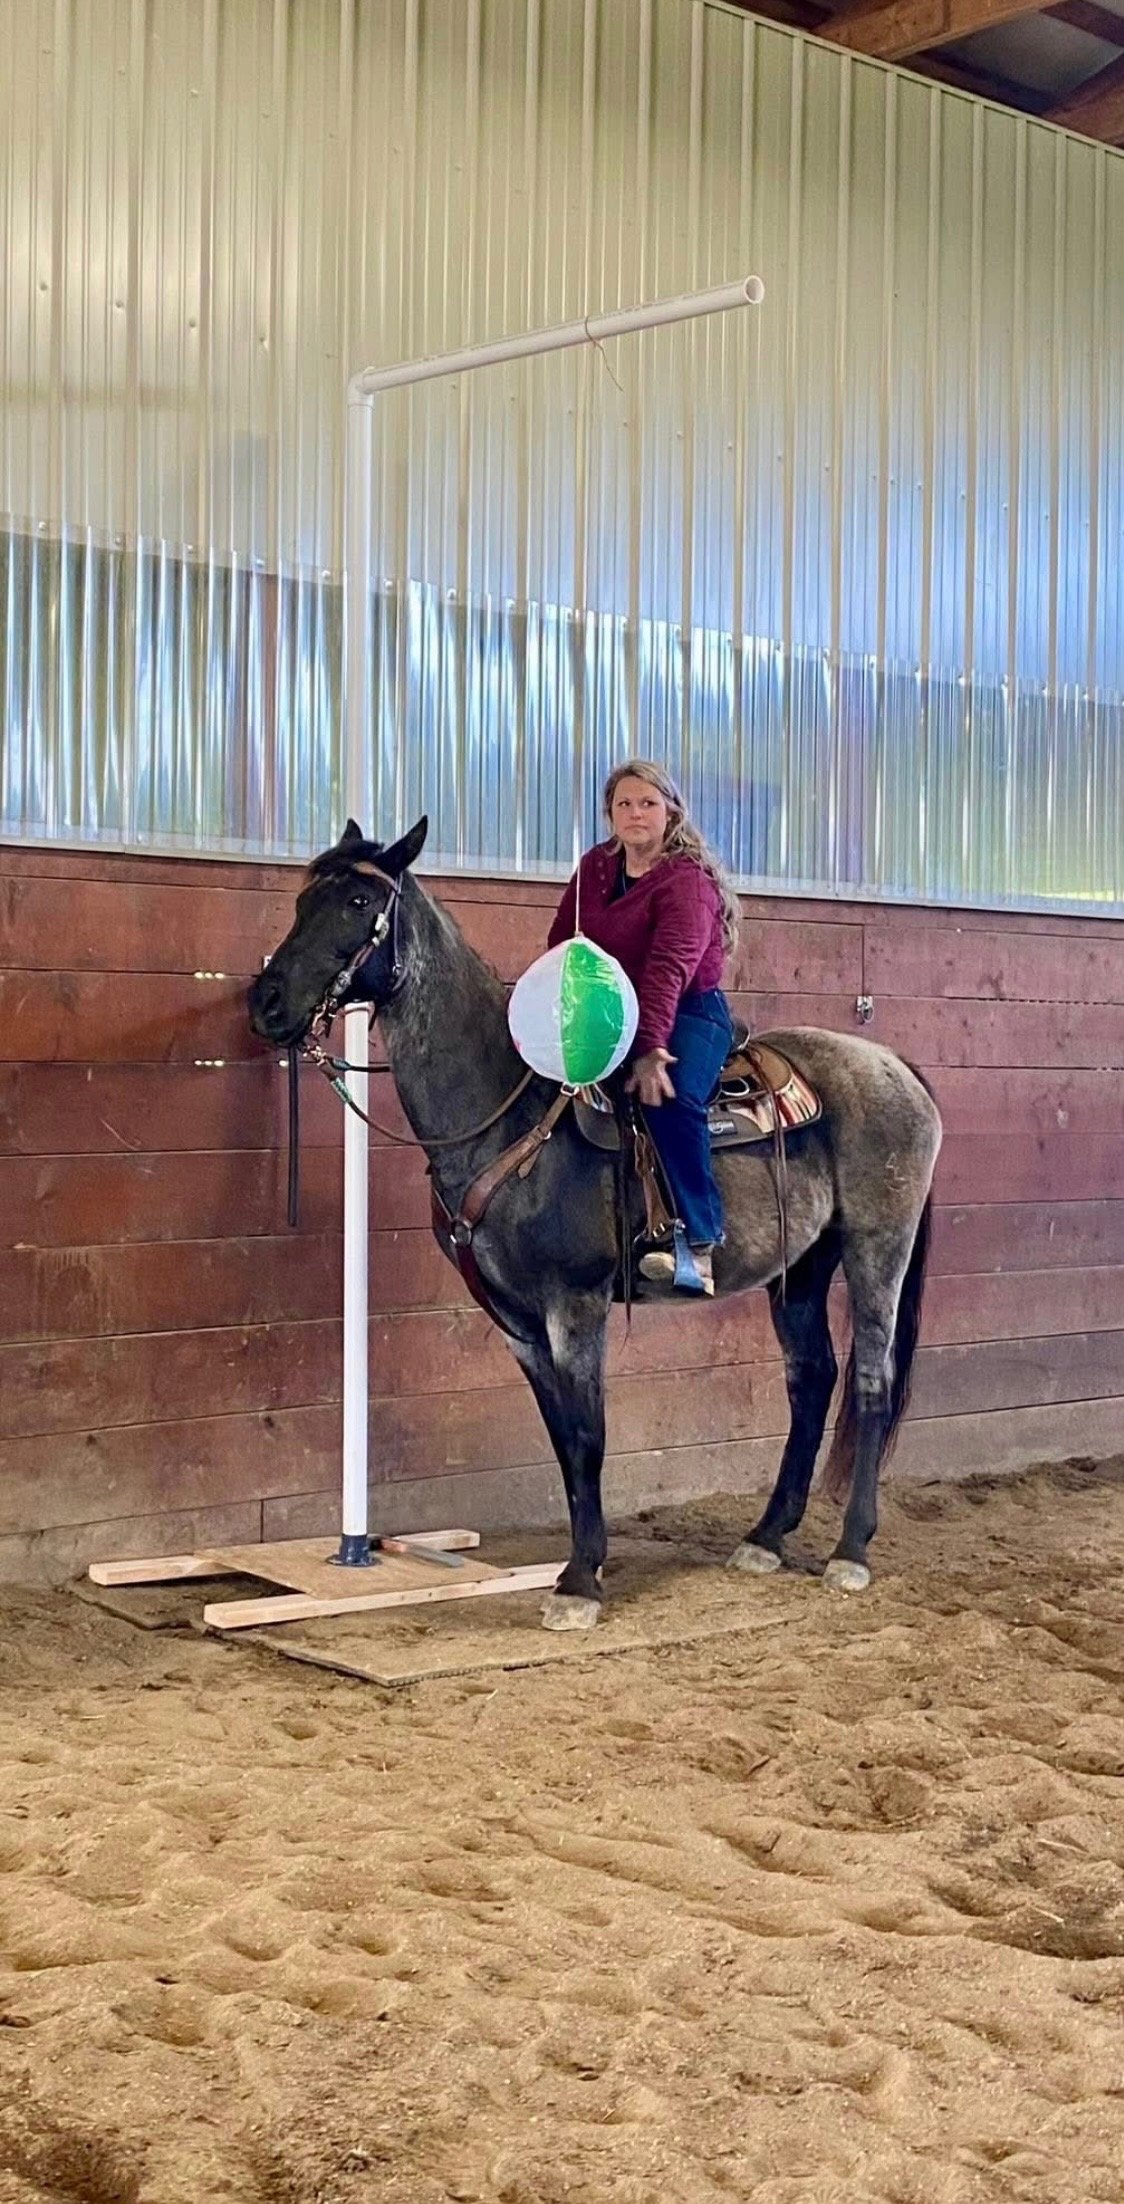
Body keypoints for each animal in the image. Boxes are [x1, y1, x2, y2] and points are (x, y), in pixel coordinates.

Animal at [248, 818, 942, 1630]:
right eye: (304, 899)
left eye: (359, 900)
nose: (266, 1002)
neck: (509, 1112)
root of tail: (892, 1062)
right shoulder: (516, 1319)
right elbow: (561, 1439)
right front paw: (580, 1565)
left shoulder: (575, 1304)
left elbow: (588, 1436)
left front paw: (581, 1582)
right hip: (801, 1266)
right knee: (811, 1380)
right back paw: (766, 1537)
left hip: (877, 1246)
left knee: (871, 1381)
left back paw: (851, 1551)